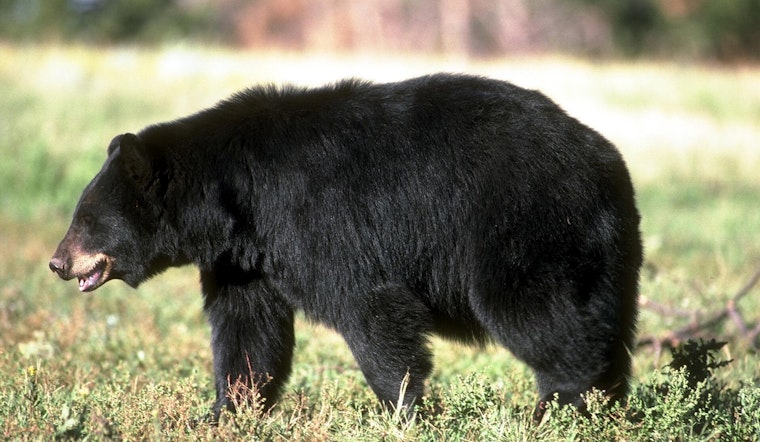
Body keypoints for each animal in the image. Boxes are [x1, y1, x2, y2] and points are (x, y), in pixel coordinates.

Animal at [50, 73, 642, 423]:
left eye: (87, 219)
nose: (58, 262)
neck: (236, 198)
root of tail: (605, 159)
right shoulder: (244, 259)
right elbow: (247, 330)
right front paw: (224, 412)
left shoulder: (317, 218)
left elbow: (368, 306)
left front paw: (403, 410)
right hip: (605, 250)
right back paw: (607, 403)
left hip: (523, 223)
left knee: (537, 314)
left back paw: (561, 406)